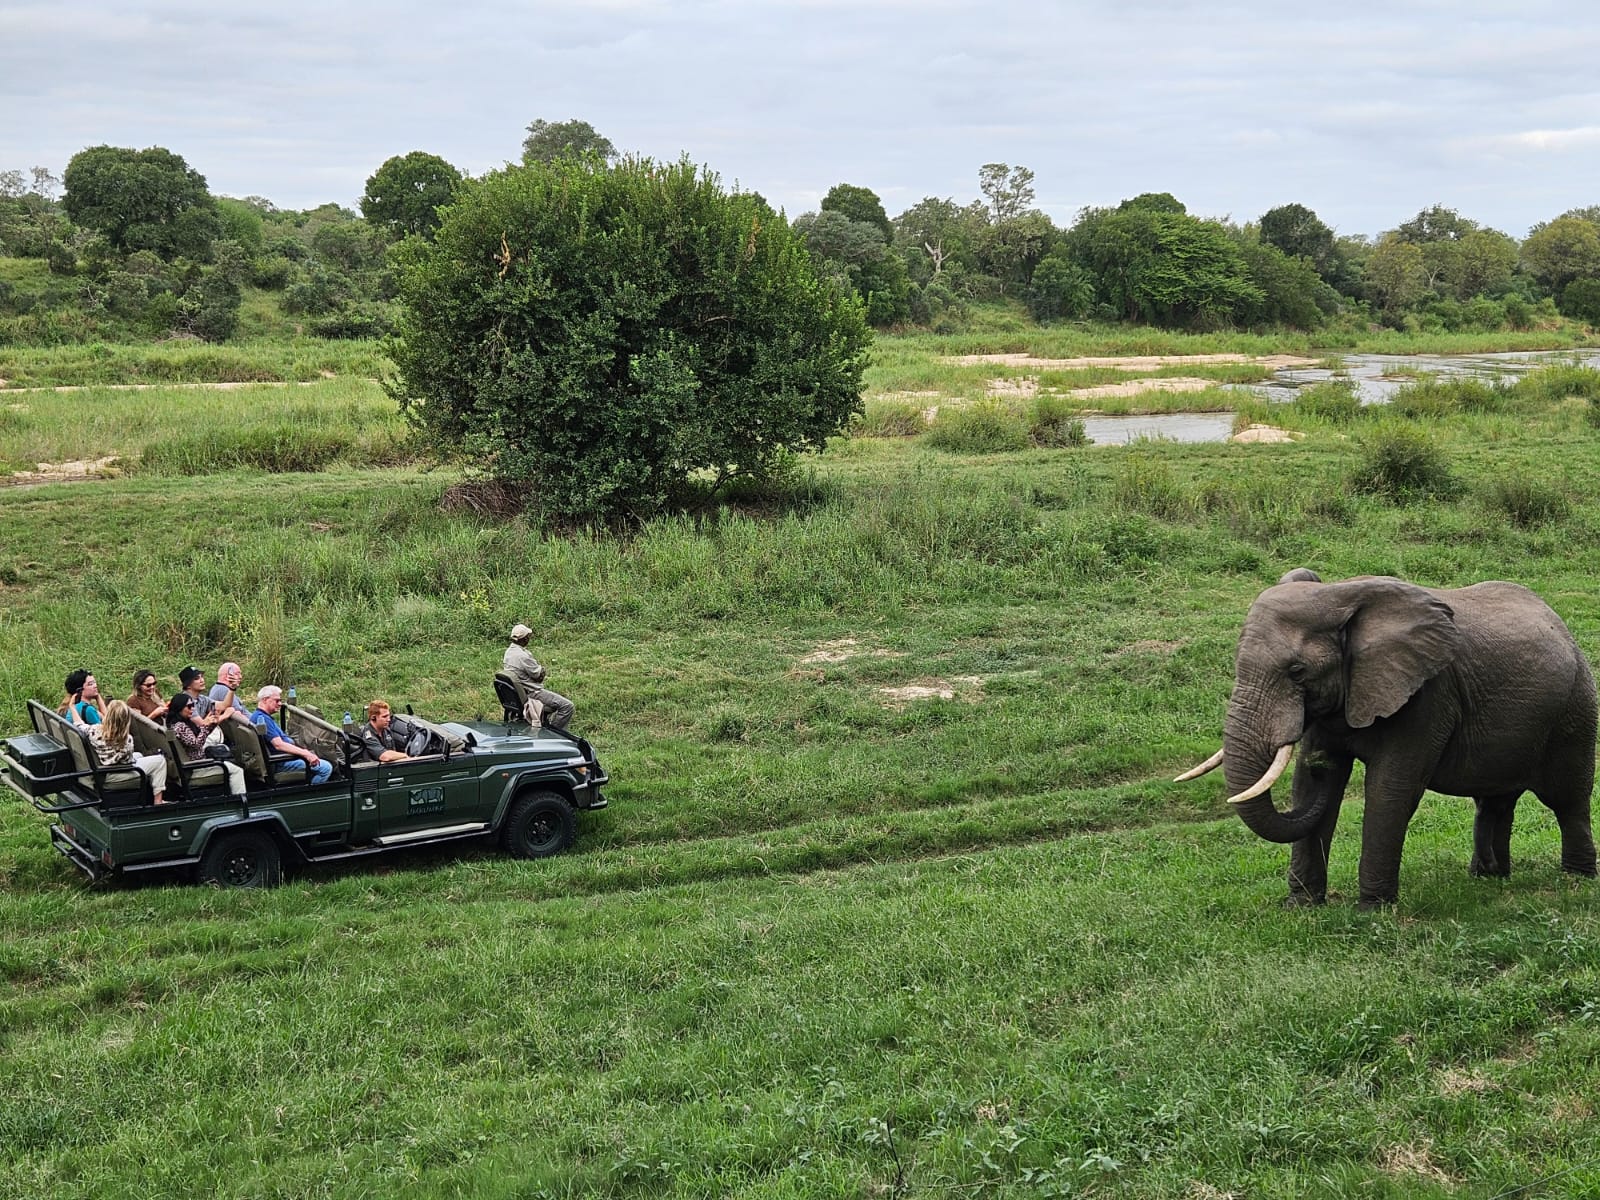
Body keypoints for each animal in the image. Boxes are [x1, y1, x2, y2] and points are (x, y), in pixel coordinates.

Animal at [1177, 569, 1597, 907]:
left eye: (1297, 671)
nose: (1318, 763)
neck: (1340, 596)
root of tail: (1561, 624)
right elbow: (1309, 788)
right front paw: (1300, 907)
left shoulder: (1427, 695)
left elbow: (1389, 790)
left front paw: (1371, 911)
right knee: (1494, 800)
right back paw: (1488, 877)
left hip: (1575, 708)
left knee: (1567, 799)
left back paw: (1575, 878)